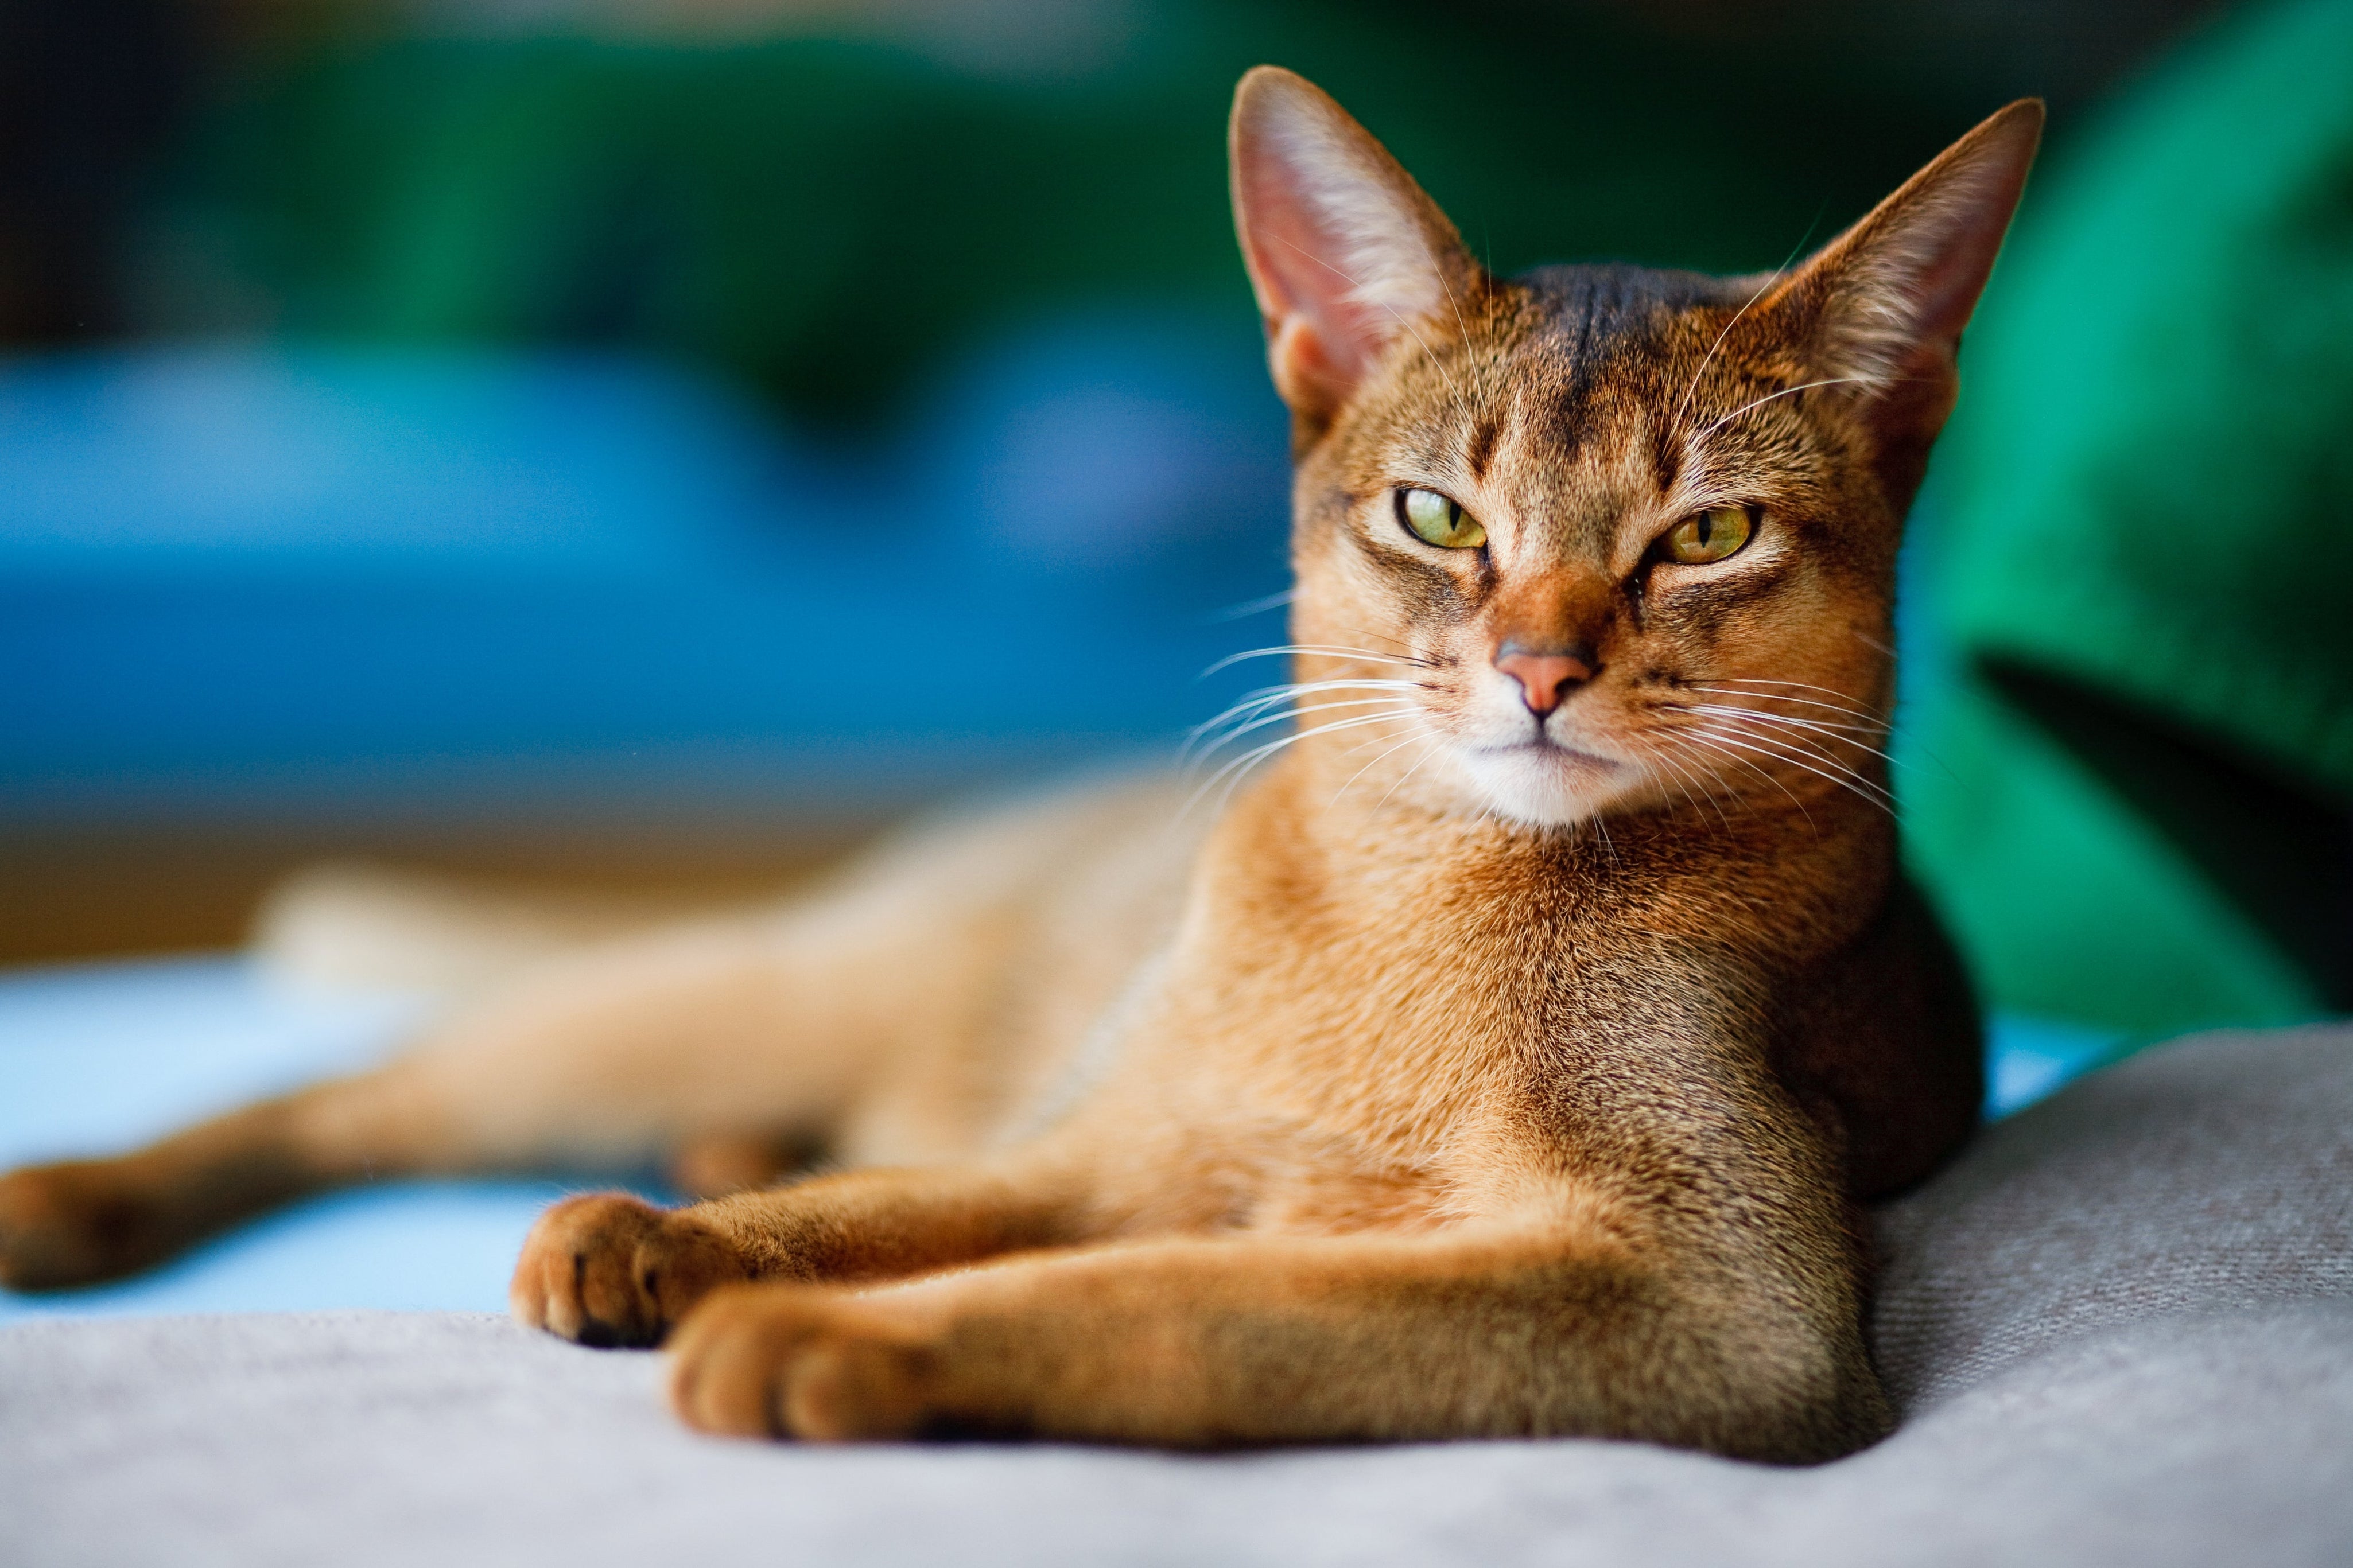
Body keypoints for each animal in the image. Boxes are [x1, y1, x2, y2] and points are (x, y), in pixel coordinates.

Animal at [0, 67, 2042, 1466]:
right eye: (1436, 515)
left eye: (1707, 537)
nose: (1539, 668)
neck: (1419, 905)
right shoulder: (1094, 1145)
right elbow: (895, 1211)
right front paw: (691, 1246)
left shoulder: (1722, 1299)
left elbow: (1183, 1301)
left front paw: (833, 1342)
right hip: (744, 988)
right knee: (373, 1084)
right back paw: (90, 1197)